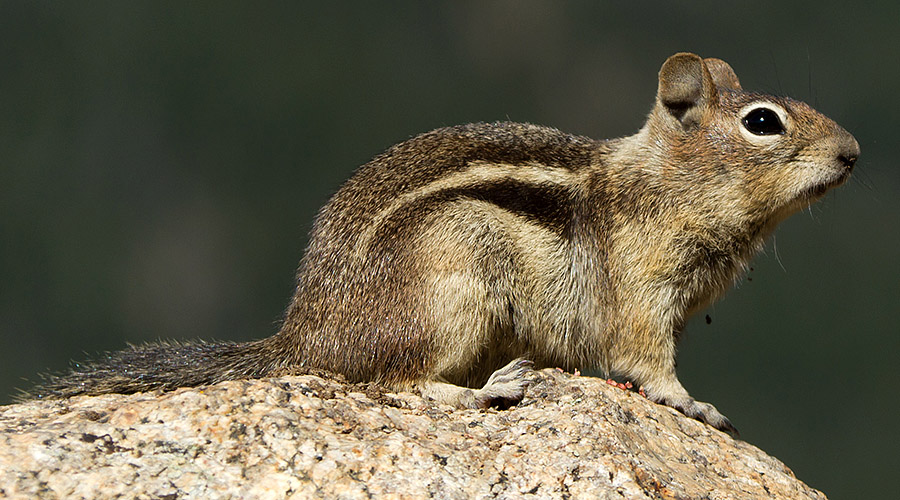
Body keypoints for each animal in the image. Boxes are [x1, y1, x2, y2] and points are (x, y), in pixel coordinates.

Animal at [26, 53, 856, 434]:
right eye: (762, 122)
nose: (852, 152)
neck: (660, 185)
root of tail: (308, 334)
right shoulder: (641, 293)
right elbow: (647, 362)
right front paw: (695, 404)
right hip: (452, 287)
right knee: (395, 383)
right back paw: (490, 388)